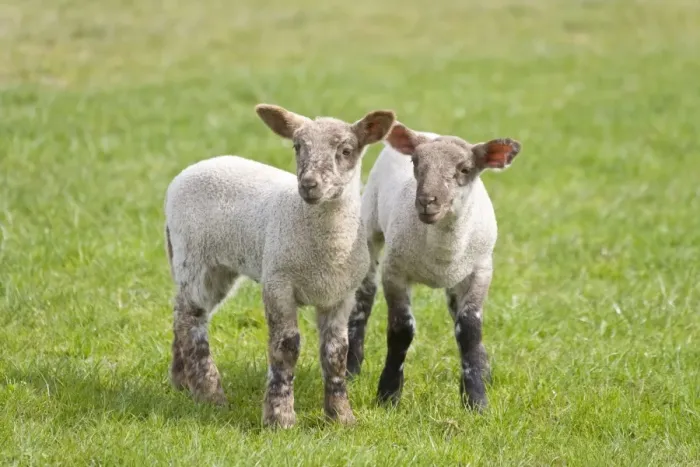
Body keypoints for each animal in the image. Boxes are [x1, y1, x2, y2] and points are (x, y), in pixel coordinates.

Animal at [164, 104, 396, 427]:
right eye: (297, 147)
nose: (309, 185)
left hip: (217, 269)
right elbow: (286, 346)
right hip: (194, 257)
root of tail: (189, 171)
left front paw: (341, 416)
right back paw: (210, 394)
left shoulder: (340, 294)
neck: (326, 249)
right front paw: (280, 417)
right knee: (191, 318)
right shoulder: (278, 282)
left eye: (346, 150)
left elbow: (336, 352)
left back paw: (182, 381)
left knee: (181, 312)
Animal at [345, 121, 522, 410]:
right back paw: (351, 368)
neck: (441, 251)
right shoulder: (395, 272)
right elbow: (401, 330)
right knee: (364, 298)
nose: (427, 201)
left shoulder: (481, 272)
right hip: (369, 224)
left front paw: (476, 399)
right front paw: (388, 394)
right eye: (415, 163)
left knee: (456, 313)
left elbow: (469, 329)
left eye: (465, 169)